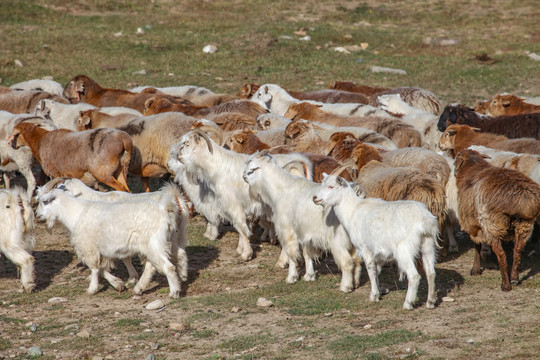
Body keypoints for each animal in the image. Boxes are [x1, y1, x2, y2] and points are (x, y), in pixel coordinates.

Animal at [35, 183, 185, 298]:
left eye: (45, 201)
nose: (37, 215)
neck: (76, 213)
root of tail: (164, 210)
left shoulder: (89, 247)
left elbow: (95, 268)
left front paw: (92, 289)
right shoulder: (101, 249)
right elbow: (102, 268)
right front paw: (118, 284)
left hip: (154, 243)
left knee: (168, 266)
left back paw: (174, 292)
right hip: (163, 242)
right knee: (155, 264)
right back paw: (140, 288)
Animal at [243, 153, 360, 292]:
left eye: (252, 169)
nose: (244, 176)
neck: (282, 189)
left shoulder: (288, 229)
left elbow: (292, 253)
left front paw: (291, 277)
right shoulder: (304, 231)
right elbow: (306, 253)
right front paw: (309, 275)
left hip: (339, 241)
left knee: (347, 262)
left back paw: (345, 286)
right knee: (357, 260)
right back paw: (355, 283)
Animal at [312, 174, 438, 310]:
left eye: (331, 186)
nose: (315, 198)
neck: (353, 210)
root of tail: (425, 220)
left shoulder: (365, 248)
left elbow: (371, 269)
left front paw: (373, 295)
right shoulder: (378, 252)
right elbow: (377, 270)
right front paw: (378, 292)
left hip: (404, 249)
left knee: (414, 276)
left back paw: (408, 303)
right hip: (428, 244)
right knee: (431, 273)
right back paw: (430, 302)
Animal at [456, 150, 540, 292]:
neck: (473, 166)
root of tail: (519, 197)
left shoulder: (472, 222)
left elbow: (477, 245)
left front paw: (475, 270)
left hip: (493, 225)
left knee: (501, 254)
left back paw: (506, 285)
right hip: (524, 225)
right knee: (517, 250)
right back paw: (514, 278)